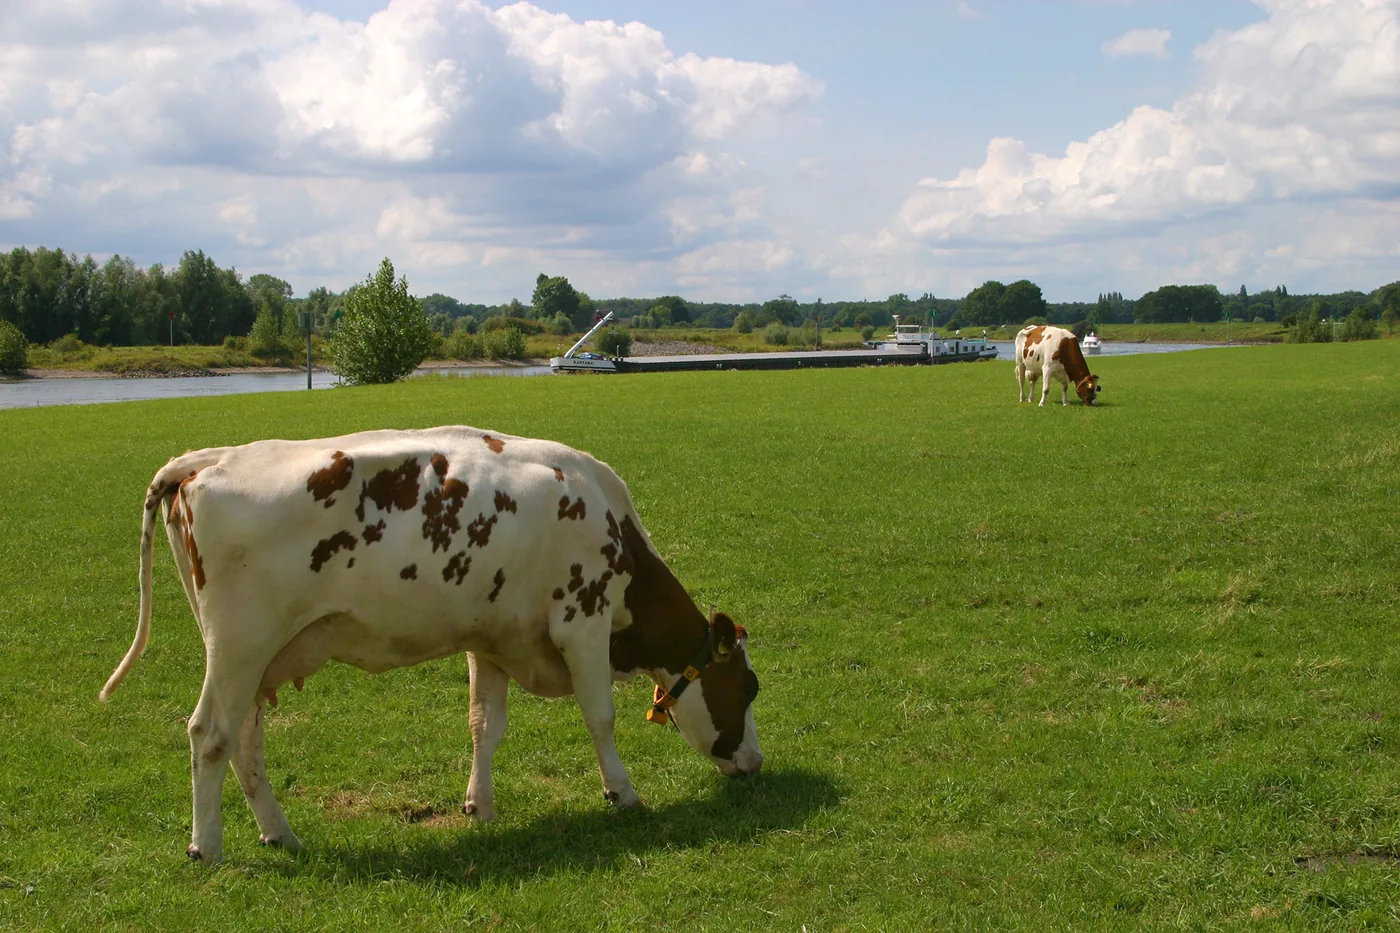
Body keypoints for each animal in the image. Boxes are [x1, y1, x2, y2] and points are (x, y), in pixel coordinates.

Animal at [100, 426, 763, 864]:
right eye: (749, 688)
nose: (755, 762)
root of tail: (209, 458)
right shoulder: (583, 622)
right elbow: (600, 717)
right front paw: (622, 792)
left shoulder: (492, 639)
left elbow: (484, 725)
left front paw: (480, 806)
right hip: (240, 644)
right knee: (209, 733)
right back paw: (206, 846)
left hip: (255, 659)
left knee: (244, 741)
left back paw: (279, 832)